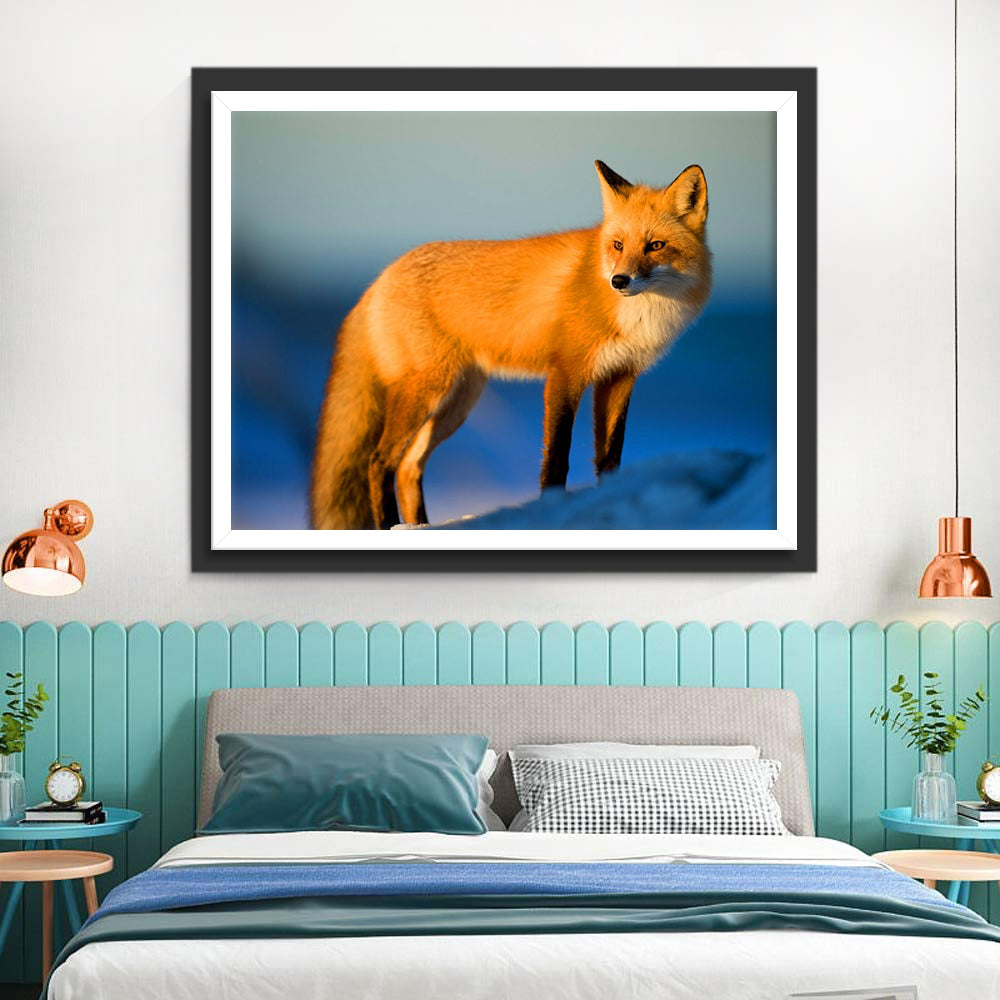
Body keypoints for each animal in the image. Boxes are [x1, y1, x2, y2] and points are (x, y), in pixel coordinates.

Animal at [310, 160, 712, 530]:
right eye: (618, 245)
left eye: (655, 246)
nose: (619, 281)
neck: (639, 316)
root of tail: (379, 279)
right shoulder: (565, 373)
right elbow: (557, 458)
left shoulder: (620, 377)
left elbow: (610, 458)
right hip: (427, 391)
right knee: (379, 462)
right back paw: (390, 524)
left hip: (457, 402)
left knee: (409, 467)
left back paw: (420, 525)